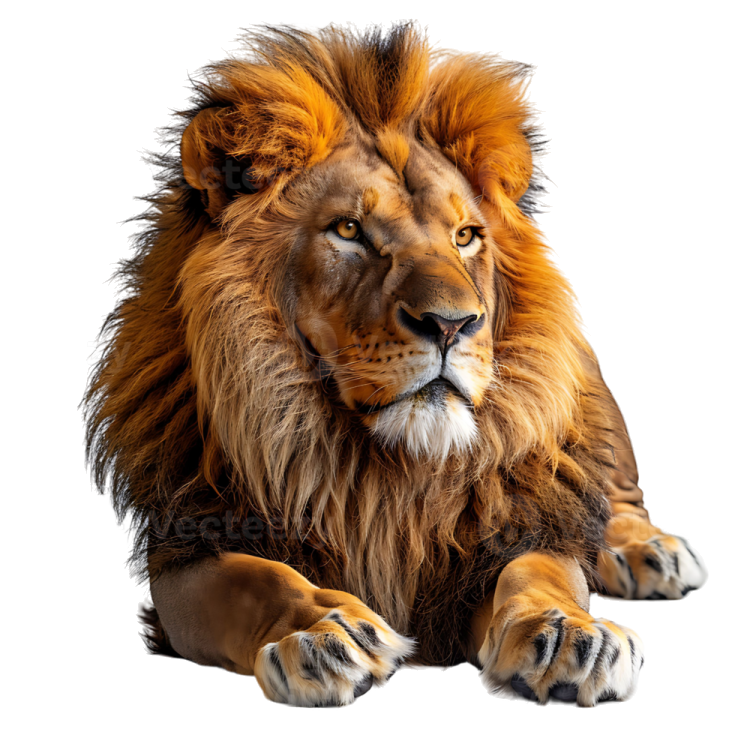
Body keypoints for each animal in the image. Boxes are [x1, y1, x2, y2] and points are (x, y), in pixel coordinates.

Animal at [83, 20, 708, 709]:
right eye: (349, 230)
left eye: (465, 236)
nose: (452, 324)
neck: (386, 478)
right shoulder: (189, 545)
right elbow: (260, 580)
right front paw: (325, 634)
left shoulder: (513, 527)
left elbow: (540, 571)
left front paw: (570, 634)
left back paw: (647, 549)